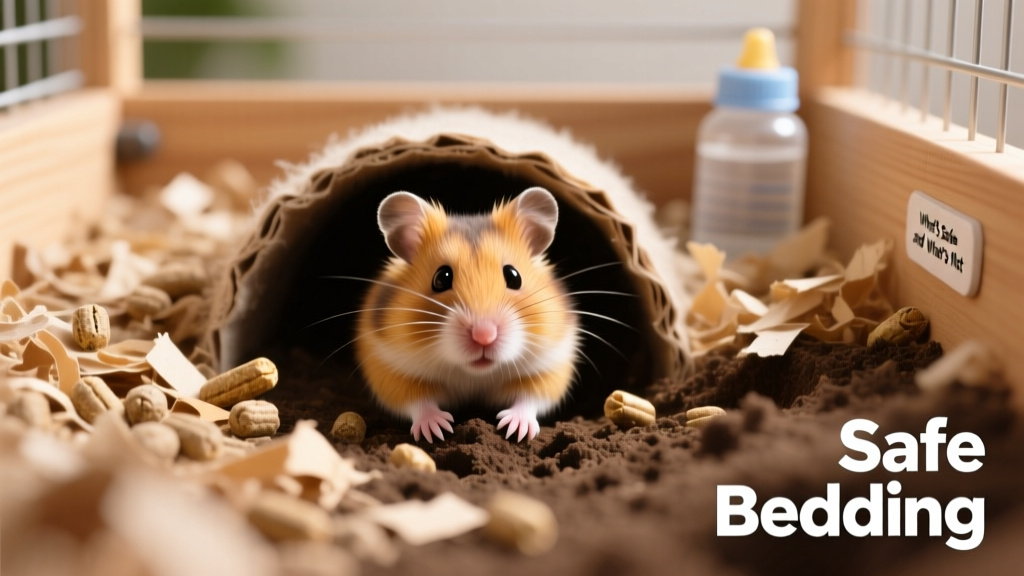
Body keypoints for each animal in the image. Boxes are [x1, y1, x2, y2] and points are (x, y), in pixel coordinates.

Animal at [355, 187, 578, 443]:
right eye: (441, 278)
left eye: (514, 276)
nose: (484, 336)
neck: (474, 374)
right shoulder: (389, 367)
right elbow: (416, 400)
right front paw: (438, 430)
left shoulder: (551, 364)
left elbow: (531, 396)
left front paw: (515, 430)